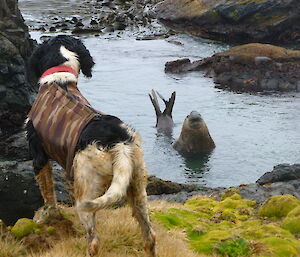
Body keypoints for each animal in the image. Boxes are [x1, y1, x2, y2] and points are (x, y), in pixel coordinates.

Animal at [25, 34, 156, 256]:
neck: (59, 80)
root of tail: (118, 143)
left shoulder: (39, 156)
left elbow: (48, 194)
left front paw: (47, 215)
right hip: (137, 186)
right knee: (149, 235)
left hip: (87, 191)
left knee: (93, 240)